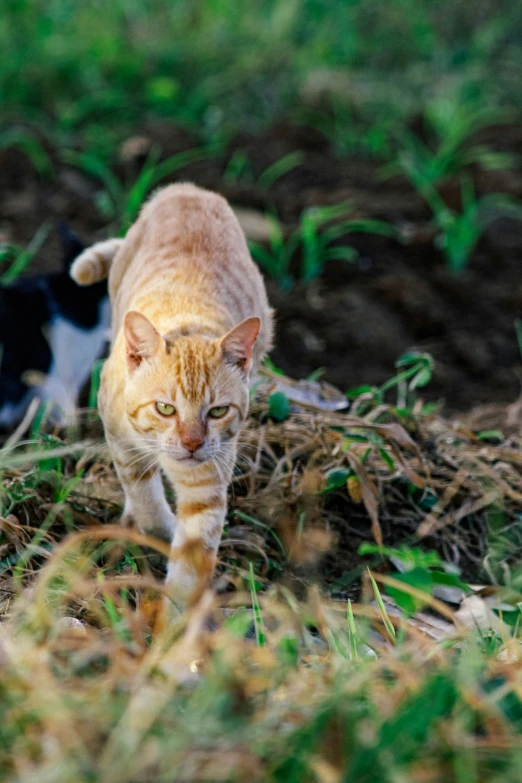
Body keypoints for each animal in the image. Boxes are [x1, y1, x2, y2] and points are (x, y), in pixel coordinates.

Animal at [71, 187, 272, 608]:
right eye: (165, 408)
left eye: (218, 411)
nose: (192, 444)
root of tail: (186, 188)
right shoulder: (121, 439)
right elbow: (143, 494)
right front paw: (156, 530)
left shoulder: (207, 482)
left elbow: (192, 560)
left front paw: (176, 619)